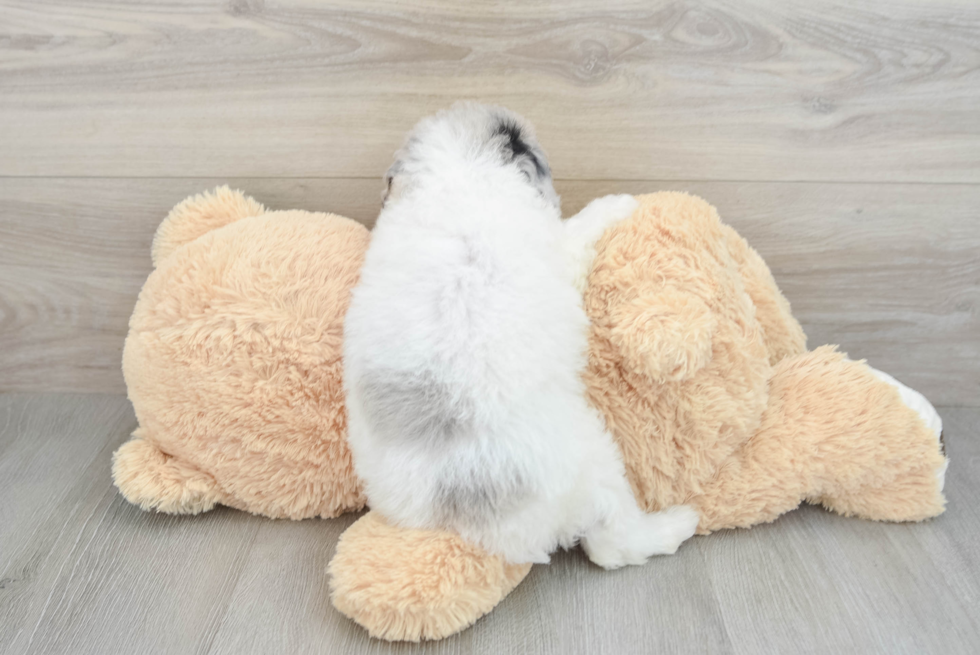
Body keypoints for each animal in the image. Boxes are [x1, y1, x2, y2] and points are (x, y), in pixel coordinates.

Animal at [342, 102, 696, 568]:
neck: (459, 172)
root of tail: (473, 508)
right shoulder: (560, 249)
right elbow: (583, 226)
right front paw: (616, 204)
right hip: (596, 458)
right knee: (612, 545)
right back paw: (676, 524)